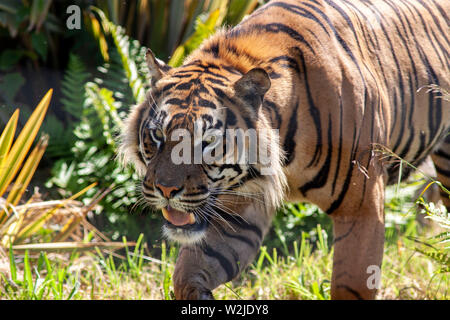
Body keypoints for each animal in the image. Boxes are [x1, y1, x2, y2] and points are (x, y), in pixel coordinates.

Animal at [119, 0, 450, 300]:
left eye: (207, 142)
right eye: (157, 136)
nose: (165, 190)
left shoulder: (362, 207)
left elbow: (352, 284)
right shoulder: (238, 209)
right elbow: (188, 273)